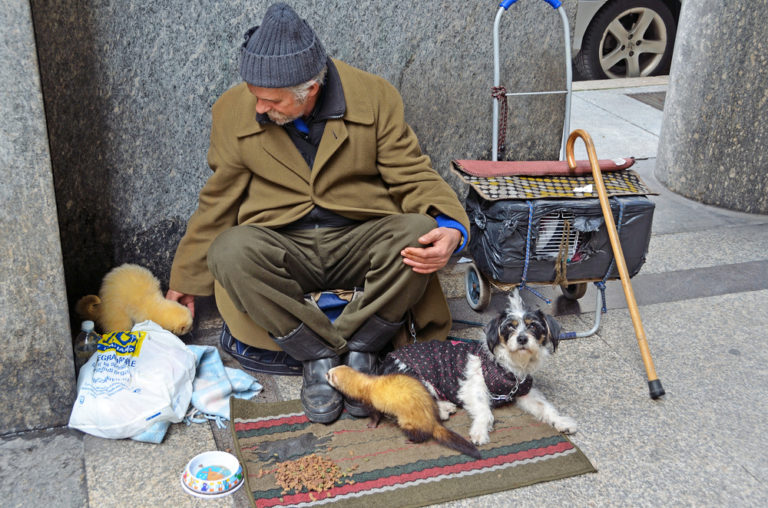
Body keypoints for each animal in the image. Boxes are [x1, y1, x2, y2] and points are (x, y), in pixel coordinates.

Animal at [379, 289, 576, 445]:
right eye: (509, 327)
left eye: (533, 326)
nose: (522, 338)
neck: (509, 366)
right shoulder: (472, 388)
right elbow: (485, 411)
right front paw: (479, 432)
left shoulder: (524, 392)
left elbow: (546, 407)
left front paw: (562, 422)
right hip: (414, 377)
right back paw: (442, 409)